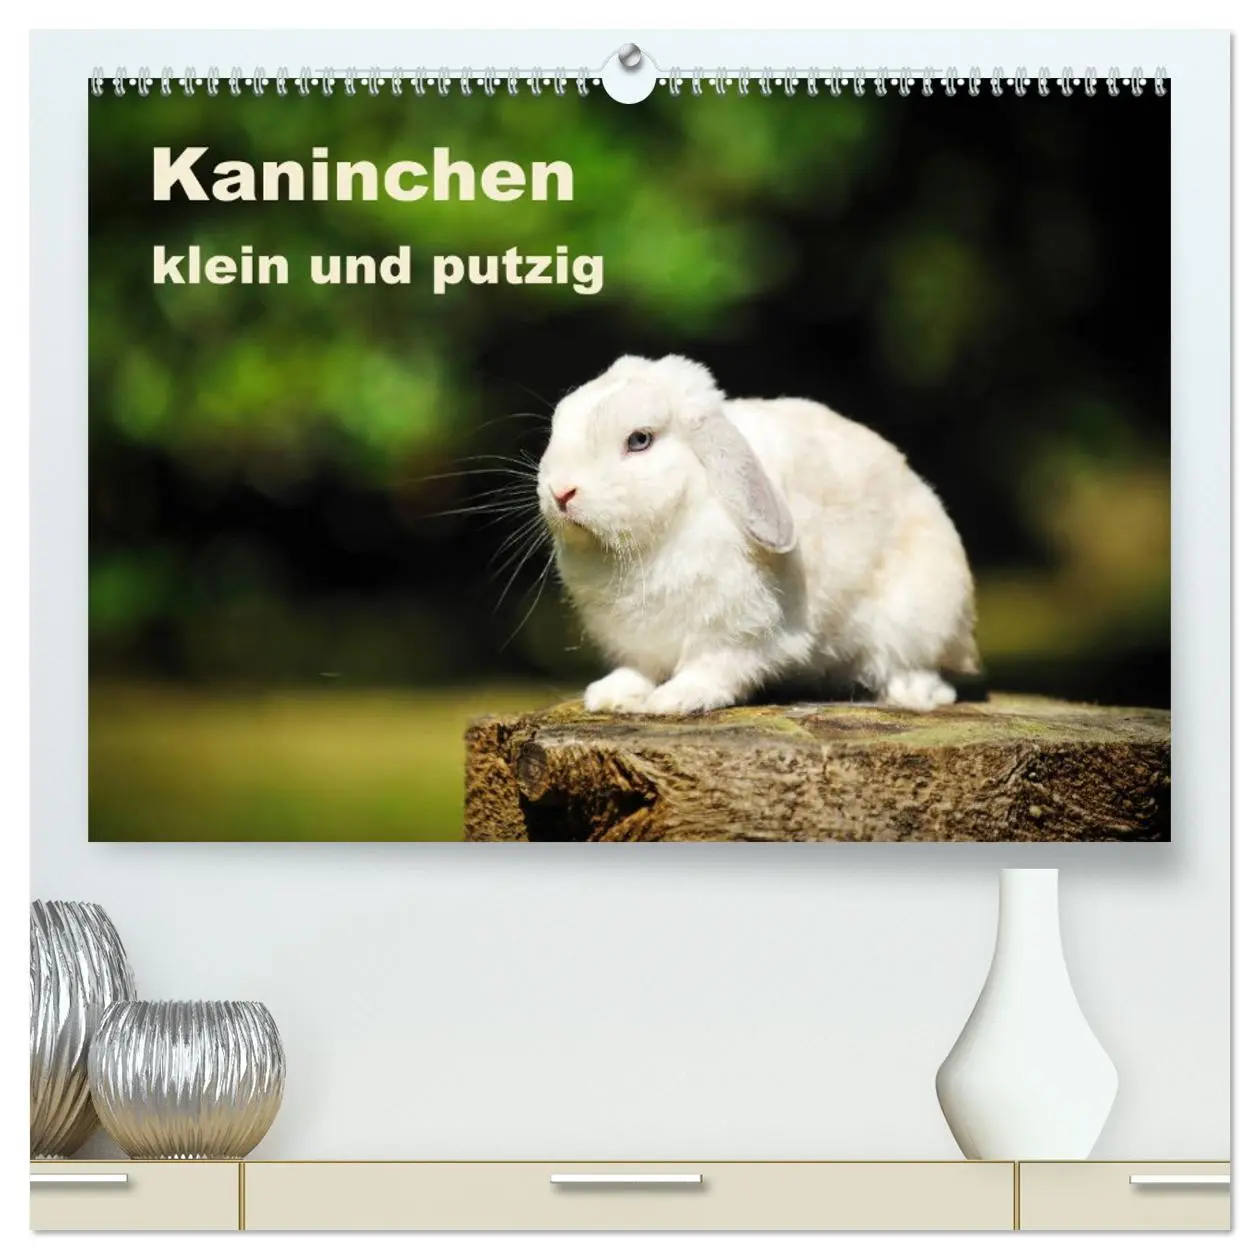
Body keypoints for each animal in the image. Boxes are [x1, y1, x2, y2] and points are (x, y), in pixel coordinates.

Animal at [535, 354, 980, 715]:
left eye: (639, 440)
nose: (561, 492)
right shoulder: (640, 640)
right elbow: (639, 668)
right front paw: (610, 696)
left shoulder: (738, 634)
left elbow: (712, 669)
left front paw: (675, 700)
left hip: (916, 616)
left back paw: (911, 694)